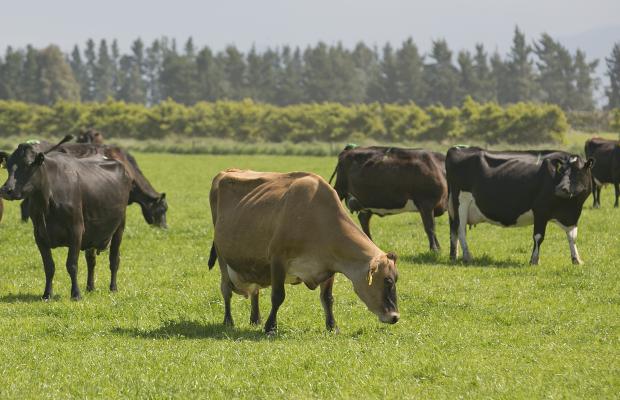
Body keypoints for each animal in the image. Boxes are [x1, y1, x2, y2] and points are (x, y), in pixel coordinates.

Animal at [0, 138, 132, 296]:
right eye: (7, 166)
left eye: (27, 165)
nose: (6, 190)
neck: (46, 203)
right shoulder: (39, 235)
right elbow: (49, 267)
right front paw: (47, 294)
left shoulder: (76, 230)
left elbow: (72, 265)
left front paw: (76, 294)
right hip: (93, 230)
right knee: (91, 260)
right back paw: (90, 287)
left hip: (119, 227)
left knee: (114, 260)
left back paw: (113, 288)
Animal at [209, 170, 402, 334]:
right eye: (387, 281)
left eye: (394, 279)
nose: (395, 317)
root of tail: (227, 172)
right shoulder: (277, 259)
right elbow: (278, 296)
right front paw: (270, 326)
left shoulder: (329, 266)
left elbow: (328, 298)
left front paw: (332, 327)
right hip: (221, 255)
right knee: (226, 289)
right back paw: (228, 320)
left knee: (255, 290)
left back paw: (255, 319)